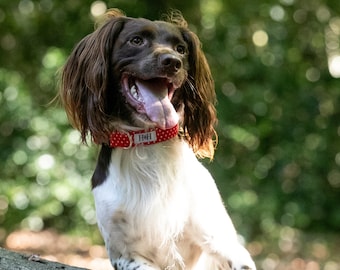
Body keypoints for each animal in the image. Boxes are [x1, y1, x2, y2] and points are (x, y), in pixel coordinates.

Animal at [60, 8, 255, 270]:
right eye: (136, 41)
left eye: (181, 49)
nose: (172, 62)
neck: (149, 142)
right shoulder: (125, 254)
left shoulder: (221, 242)